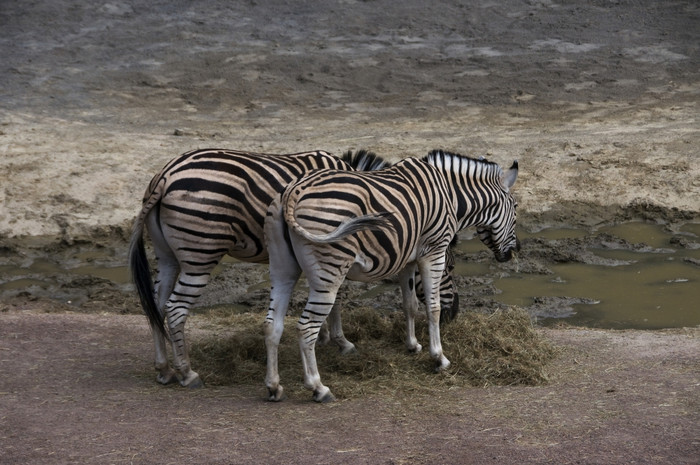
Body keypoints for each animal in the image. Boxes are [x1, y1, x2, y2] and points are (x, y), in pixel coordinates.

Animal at [127, 148, 460, 388]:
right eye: (451, 266)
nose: (455, 314)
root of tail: (165, 175)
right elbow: (337, 299)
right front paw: (339, 341)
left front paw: (327, 339)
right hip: (200, 252)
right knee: (174, 309)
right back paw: (187, 373)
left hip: (168, 255)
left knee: (156, 305)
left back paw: (164, 369)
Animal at [266, 150, 516, 402]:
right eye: (514, 208)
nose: (514, 252)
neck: (450, 196)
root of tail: (294, 190)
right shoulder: (433, 252)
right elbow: (432, 307)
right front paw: (439, 358)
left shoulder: (408, 260)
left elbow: (410, 305)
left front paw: (413, 346)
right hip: (329, 270)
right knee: (306, 327)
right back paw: (318, 387)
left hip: (282, 269)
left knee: (272, 324)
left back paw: (274, 386)